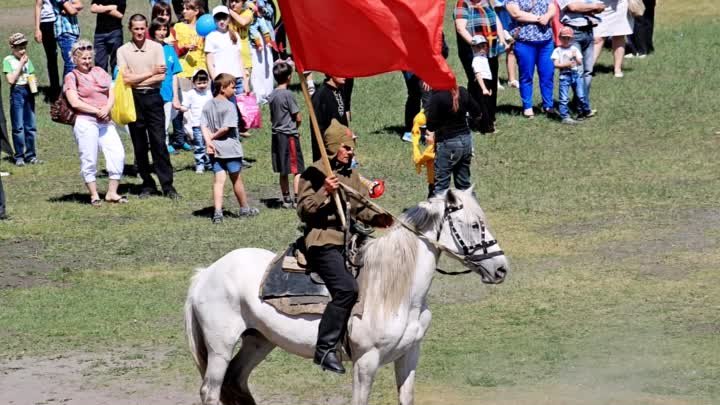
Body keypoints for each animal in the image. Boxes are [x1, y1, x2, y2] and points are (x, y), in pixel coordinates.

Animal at [183, 188, 510, 402]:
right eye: (475, 225)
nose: (501, 269)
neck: (398, 293)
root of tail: (206, 274)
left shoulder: (410, 354)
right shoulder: (366, 361)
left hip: (259, 340)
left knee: (237, 381)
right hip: (220, 347)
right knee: (211, 390)